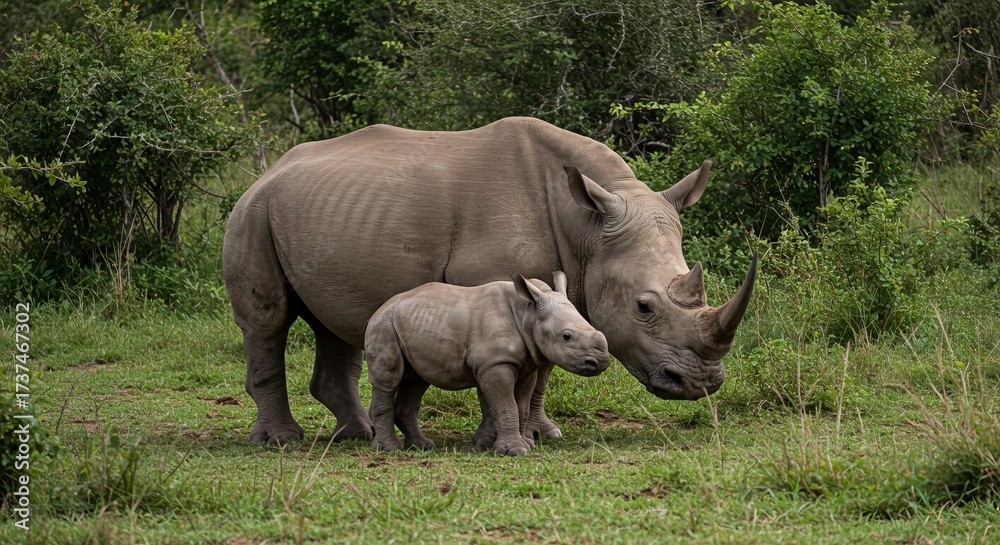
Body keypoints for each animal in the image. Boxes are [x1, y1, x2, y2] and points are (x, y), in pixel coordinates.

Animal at [366, 272, 610, 455]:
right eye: (567, 336)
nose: (601, 361)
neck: (528, 314)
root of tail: (380, 308)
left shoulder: (524, 365)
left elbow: (520, 406)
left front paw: (523, 444)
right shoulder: (495, 363)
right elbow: (506, 405)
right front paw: (515, 451)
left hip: (410, 326)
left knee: (416, 380)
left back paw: (422, 446)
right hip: (383, 325)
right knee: (389, 380)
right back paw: (389, 449)